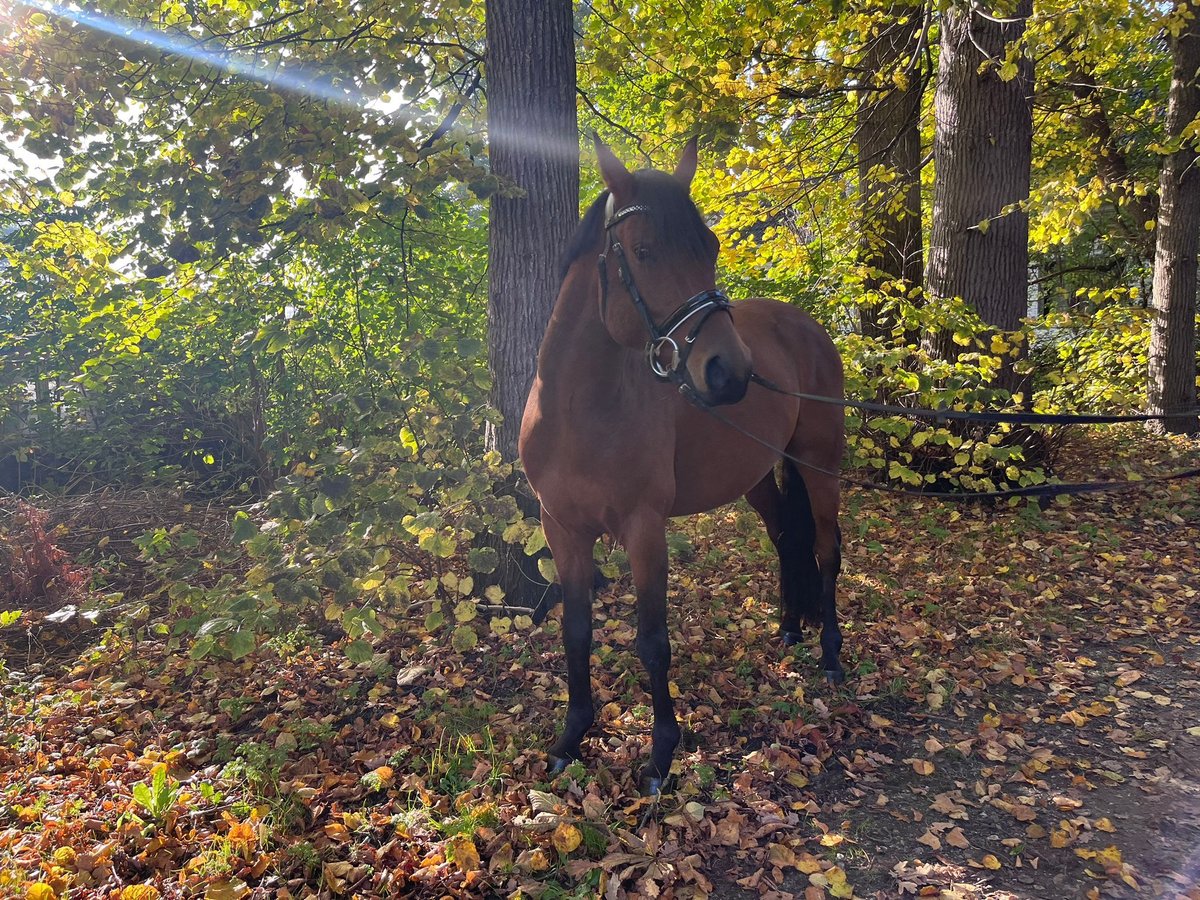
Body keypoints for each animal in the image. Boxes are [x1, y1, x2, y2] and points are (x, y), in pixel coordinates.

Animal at [518, 135, 844, 796]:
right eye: (643, 251)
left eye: (711, 246)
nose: (730, 372)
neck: (578, 409)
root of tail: (805, 326)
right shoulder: (561, 528)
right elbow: (576, 629)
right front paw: (571, 739)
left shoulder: (645, 530)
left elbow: (653, 641)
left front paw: (661, 756)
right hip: (758, 477)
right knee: (786, 538)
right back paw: (789, 629)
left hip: (819, 466)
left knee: (826, 548)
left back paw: (829, 652)